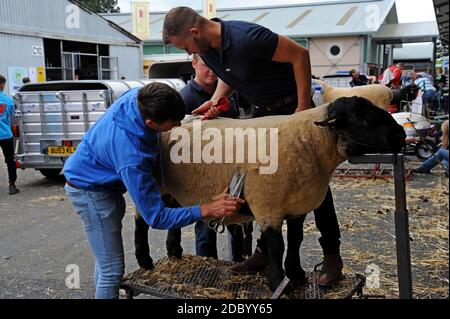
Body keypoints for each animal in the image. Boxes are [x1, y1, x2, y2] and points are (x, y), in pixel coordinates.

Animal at [133, 95, 404, 292]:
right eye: (363, 118)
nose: (400, 134)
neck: (309, 141)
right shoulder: (268, 206)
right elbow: (276, 246)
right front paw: (278, 283)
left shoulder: (297, 207)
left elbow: (295, 241)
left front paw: (296, 275)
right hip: (154, 184)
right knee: (141, 221)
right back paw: (144, 259)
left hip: (173, 191)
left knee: (173, 216)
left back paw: (174, 252)